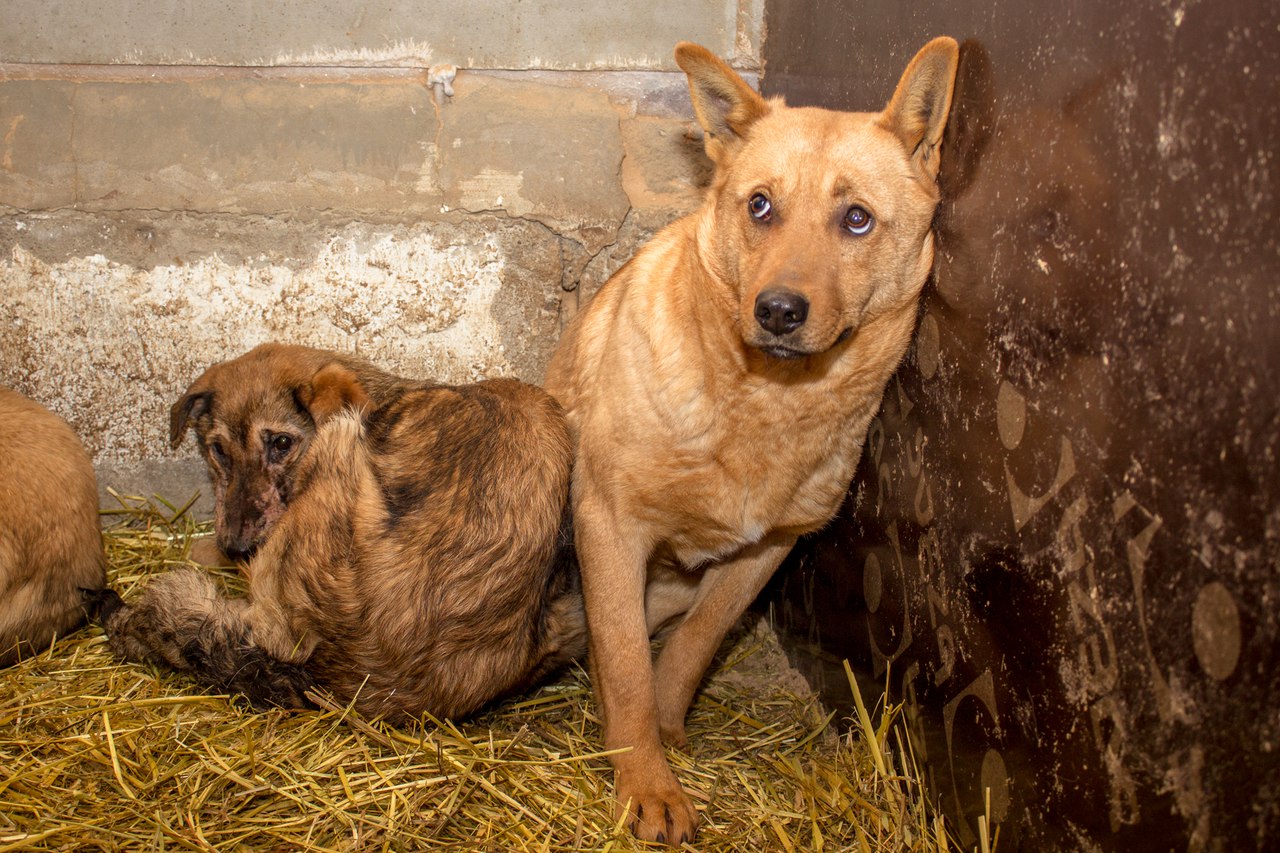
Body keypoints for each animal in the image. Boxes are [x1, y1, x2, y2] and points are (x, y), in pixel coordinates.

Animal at [542, 38, 962, 835]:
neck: (766, 401)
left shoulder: (768, 548)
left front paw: (667, 727)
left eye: (856, 219)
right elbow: (625, 663)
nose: (777, 310)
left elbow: (693, 644)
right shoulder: (610, 523)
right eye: (759, 205)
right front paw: (644, 780)